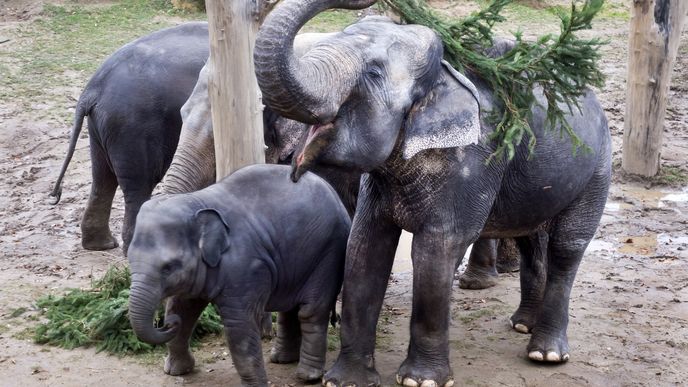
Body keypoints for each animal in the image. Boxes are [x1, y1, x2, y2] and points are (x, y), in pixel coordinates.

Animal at [127, 165, 352, 386]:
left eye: (169, 267)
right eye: (129, 259)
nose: (166, 323)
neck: (196, 201)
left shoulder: (246, 268)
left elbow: (239, 325)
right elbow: (183, 308)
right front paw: (175, 371)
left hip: (329, 253)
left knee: (310, 311)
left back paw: (307, 376)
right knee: (290, 309)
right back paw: (281, 359)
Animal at [255, 0, 612, 387]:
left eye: (374, 73)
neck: (443, 74)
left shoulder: (473, 158)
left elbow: (436, 249)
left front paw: (420, 380)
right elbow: (364, 247)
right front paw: (346, 381)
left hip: (598, 168)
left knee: (567, 246)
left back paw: (545, 354)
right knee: (532, 241)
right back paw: (522, 325)